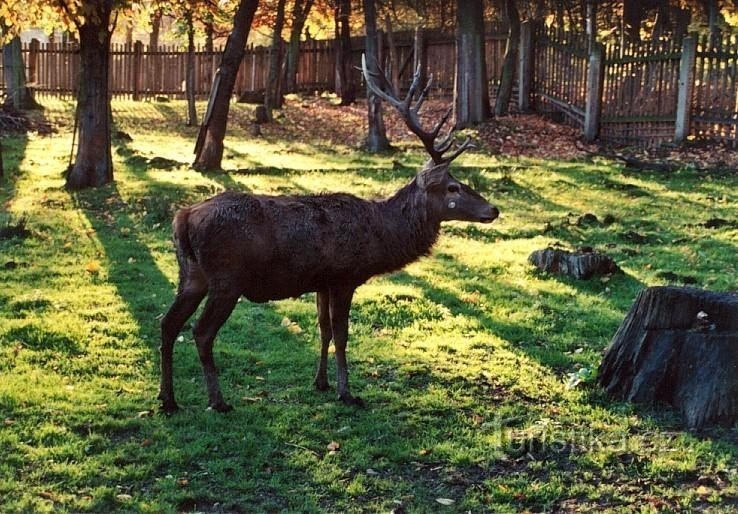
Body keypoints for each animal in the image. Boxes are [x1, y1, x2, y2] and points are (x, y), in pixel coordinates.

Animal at [157, 54, 498, 410]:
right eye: (452, 187)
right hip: (227, 277)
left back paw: (168, 399)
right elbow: (342, 335)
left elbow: (323, 331)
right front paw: (346, 392)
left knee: (167, 323)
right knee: (201, 332)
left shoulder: (320, 282)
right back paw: (217, 400)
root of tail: (183, 217)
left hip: (192, 274)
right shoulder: (343, 277)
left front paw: (320, 382)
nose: (493, 210)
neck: (380, 239)